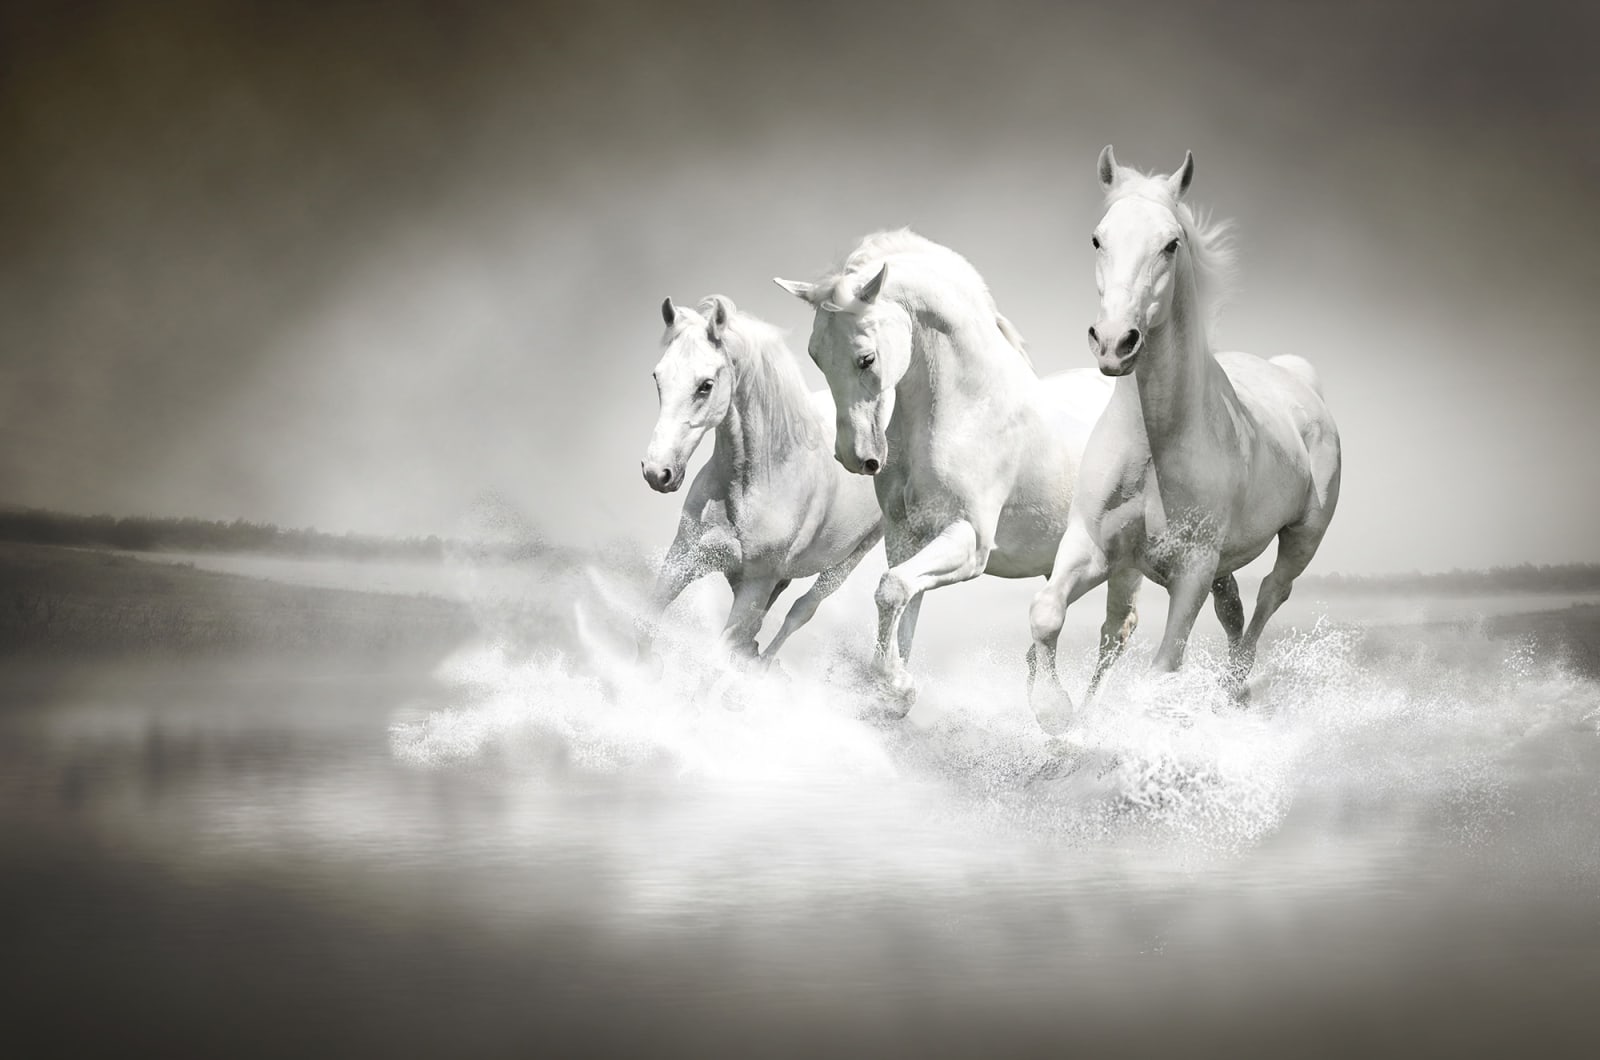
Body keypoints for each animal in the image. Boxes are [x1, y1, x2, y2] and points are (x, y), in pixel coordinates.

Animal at [637, 295, 883, 672]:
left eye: (705, 385)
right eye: (657, 377)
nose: (657, 472)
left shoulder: (755, 586)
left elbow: (715, 662)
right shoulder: (684, 556)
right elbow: (646, 627)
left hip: (849, 560)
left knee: (801, 610)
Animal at [774, 230, 1135, 711]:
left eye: (866, 358)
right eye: (816, 357)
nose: (856, 457)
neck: (967, 409)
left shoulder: (970, 541)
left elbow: (891, 590)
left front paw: (898, 686)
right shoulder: (906, 538)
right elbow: (902, 604)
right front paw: (894, 689)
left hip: (1127, 563)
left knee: (1116, 632)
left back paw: (1077, 718)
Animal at [1026, 147, 1342, 731]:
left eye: (1171, 244)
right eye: (1098, 238)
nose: (1114, 343)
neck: (1155, 444)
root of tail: (1299, 381)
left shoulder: (1191, 570)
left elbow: (1164, 667)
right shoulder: (1092, 546)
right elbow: (1047, 613)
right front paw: (1055, 713)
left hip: (1302, 537)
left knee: (1271, 595)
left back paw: (1234, 689)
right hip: (1222, 564)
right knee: (1231, 609)